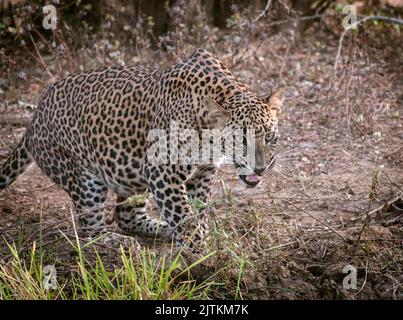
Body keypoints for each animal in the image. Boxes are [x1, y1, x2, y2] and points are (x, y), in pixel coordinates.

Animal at [0, 48, 284, 255]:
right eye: (241, 139)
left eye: (270, 137)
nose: (260, 169)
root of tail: (33, 119)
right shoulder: (161, 170)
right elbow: (184, 214)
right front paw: (201, 252)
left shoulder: (203, 172)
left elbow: (197, 210)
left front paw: (202, 237)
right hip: (83, 176)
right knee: (89, 229)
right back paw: (120, 242)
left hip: (130, 173)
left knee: (126, 215)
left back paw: (163, 229)